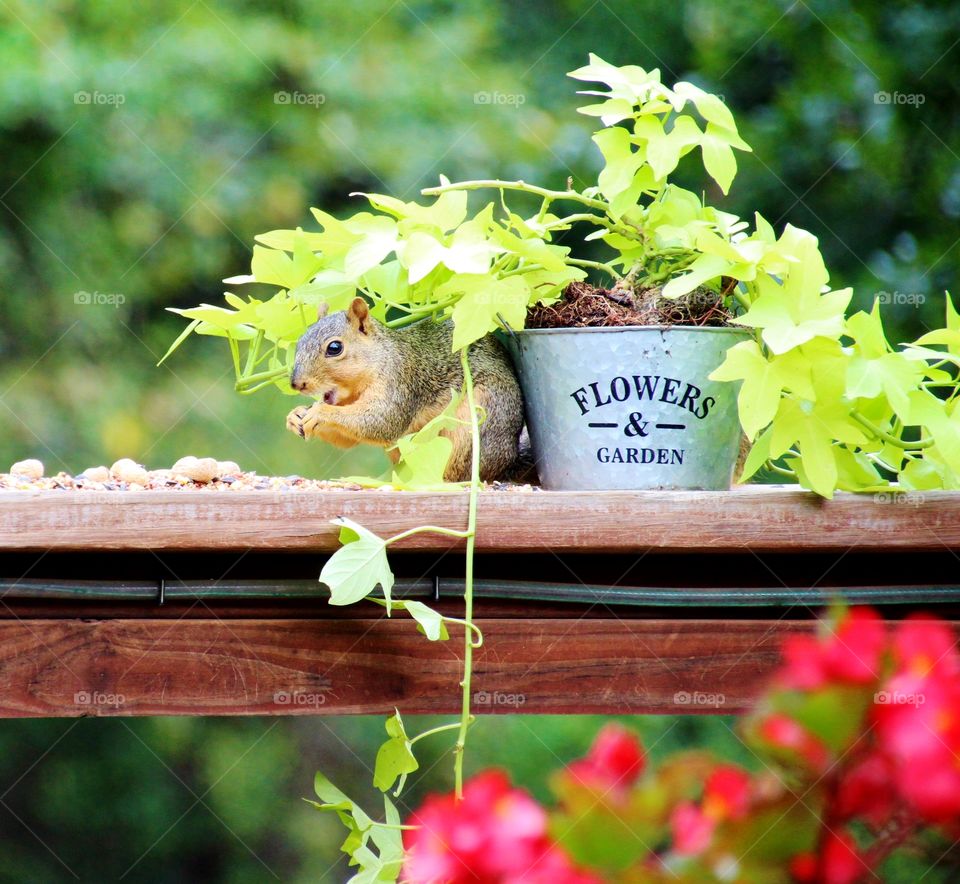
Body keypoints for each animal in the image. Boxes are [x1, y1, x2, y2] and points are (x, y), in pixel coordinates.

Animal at [284, 296, 528, 480]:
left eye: (335, 348)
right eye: (300, 341)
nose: (296, 383)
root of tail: (507, 460)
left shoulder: (400, 381)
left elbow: (382, 420)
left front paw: (320, 412)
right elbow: (347, 439)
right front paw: (295, 415)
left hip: (473, 425)